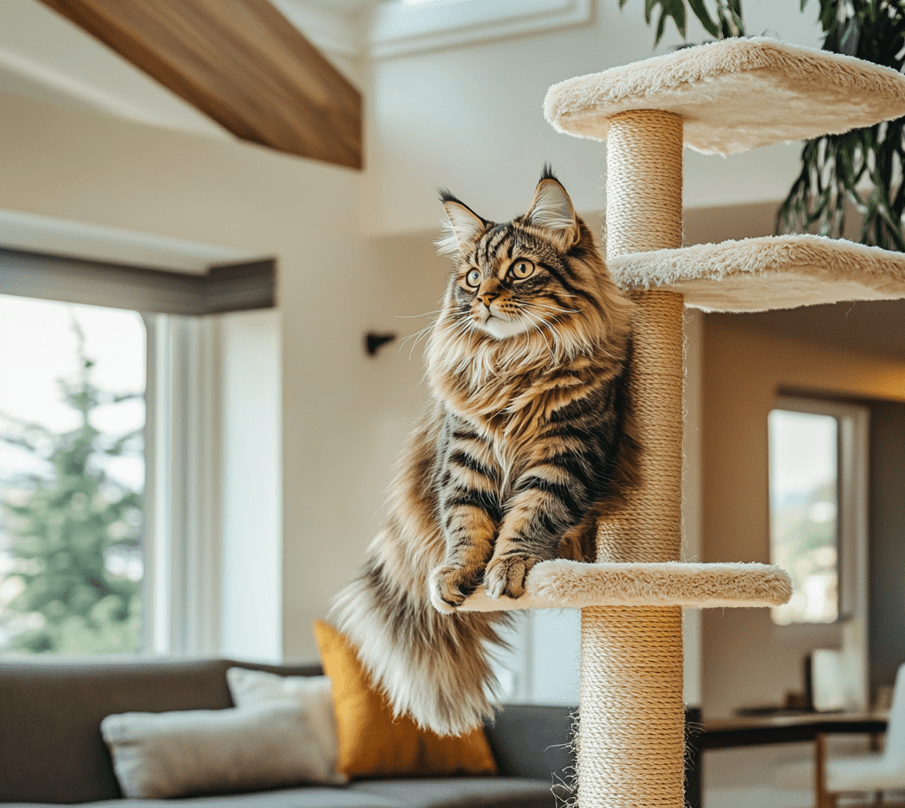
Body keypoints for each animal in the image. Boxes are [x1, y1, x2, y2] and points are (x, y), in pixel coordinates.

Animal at [328, 167, 632, 736]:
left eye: (520, 269)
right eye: (472, 277)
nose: (486, 298)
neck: (514, 361)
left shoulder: (564, 452)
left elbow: (531, 515)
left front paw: (507, 568)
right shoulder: (466, 455)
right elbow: (467, 525)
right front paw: (457, 575)